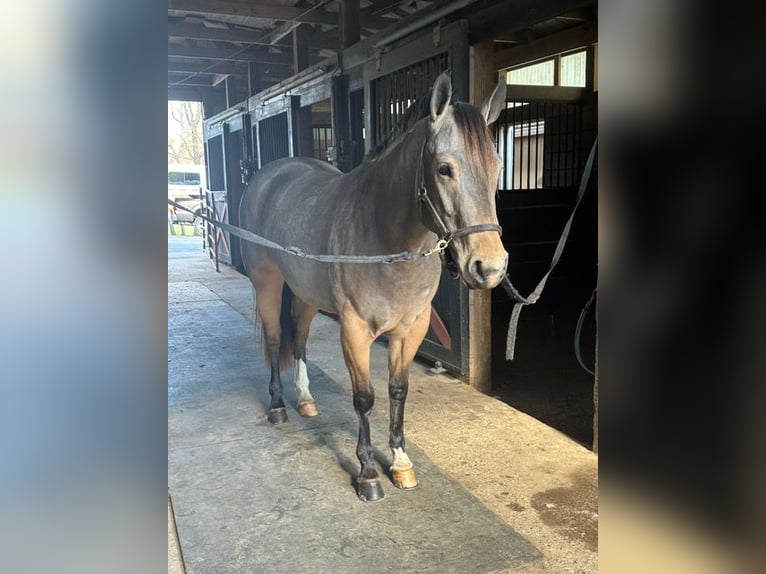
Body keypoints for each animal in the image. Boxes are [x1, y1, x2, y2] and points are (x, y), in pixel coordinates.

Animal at [240, 73, 510, 504]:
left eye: (497, 166)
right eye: (444, 168)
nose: (490, 267)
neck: (389, 244)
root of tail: (268, 176)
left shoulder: (411, 329)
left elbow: (397, 391)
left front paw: (400, 462)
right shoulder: (355, 330)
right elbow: (364, 397)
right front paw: (367, 473)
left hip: (305, 293)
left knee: (298, 337)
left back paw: (306, 400)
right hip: (267, 283)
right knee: (274, 337)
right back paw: (278, 406)